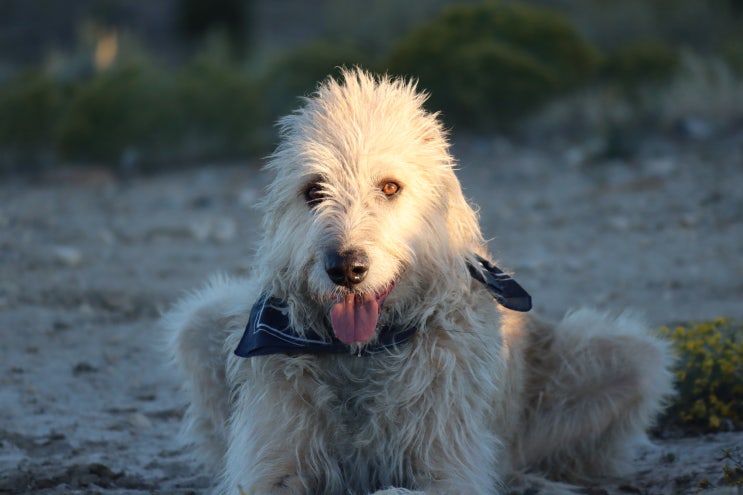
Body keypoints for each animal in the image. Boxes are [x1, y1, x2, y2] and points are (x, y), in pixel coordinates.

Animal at [166, 68, 676, 494]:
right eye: (314, 190)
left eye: (390, 187)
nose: (346, 269)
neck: (362, 353)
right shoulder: (271, 461)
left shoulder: (449, 466)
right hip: (200, 322)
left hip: (624, 358)